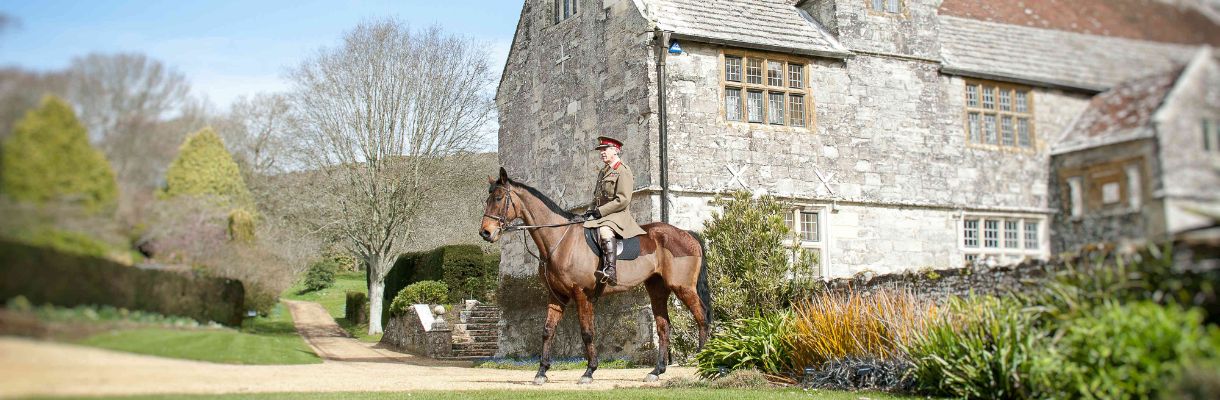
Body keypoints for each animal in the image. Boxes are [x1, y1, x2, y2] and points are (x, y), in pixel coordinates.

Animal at [478, 168, 712, 385]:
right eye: (487, 199)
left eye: (498, 198)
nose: (485, 233)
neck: (559, 240)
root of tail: (686, 233)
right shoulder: (556, 296)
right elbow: (547, 330)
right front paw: (541, 372)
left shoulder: (581, 294)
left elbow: (587, 332)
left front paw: (589, 371)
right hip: (657, 290)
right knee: (664, 326)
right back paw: (657, 371)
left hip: (683, 287)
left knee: (701, 317)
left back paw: (704, 363)